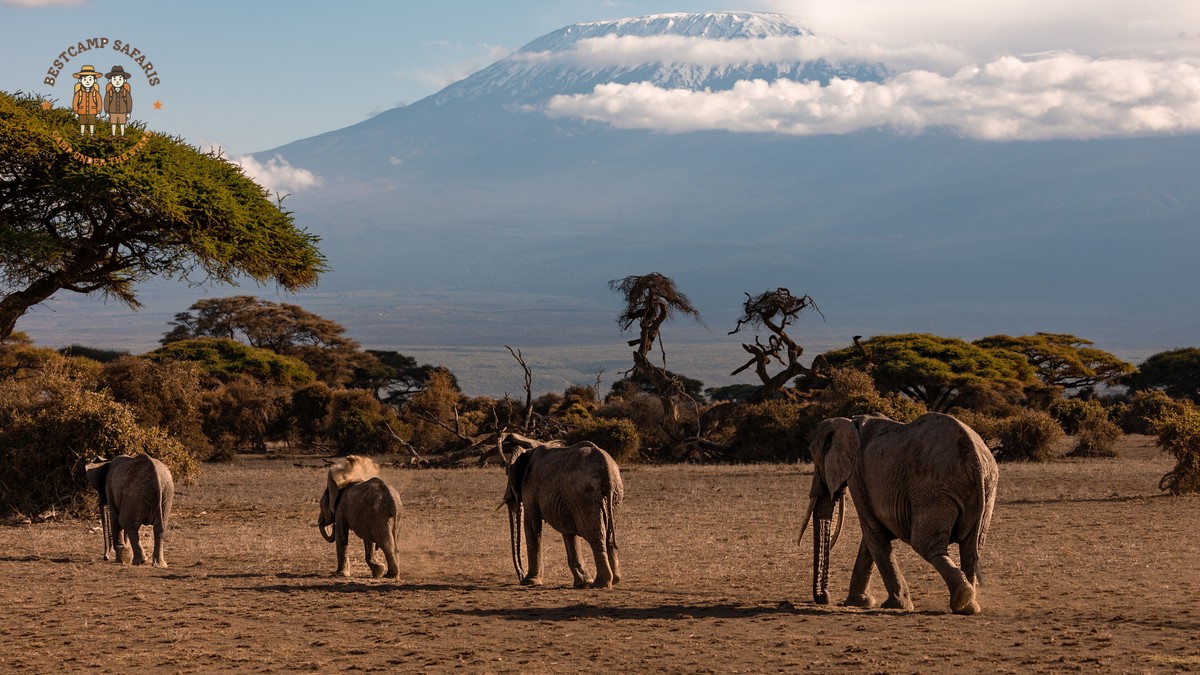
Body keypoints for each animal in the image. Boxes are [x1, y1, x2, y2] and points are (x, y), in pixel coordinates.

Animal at [501, 433, 623, 589]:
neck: (530, 447)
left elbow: (532, 525)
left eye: (507, 473)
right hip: (614, 494)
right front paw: (582, 583)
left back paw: (600, 584)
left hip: (585, 493)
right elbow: (568, 531)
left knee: (594, 534)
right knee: (609, 533)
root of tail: (605, 464)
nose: (521, 577)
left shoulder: (530, 487)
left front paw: (530, 582)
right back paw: (614, 580)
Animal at [799, 412, 998, 615]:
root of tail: (974, 459)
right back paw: (969, 606)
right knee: (971, 548)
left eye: (816, 458)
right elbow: (871, 538)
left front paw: (895, 605)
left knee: (926, 544)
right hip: (986, 487)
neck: (849, 422)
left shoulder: (856, 476)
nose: (824, 598)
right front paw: (859, 602)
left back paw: (962, 598)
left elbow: (873, 533)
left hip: (933, 489)